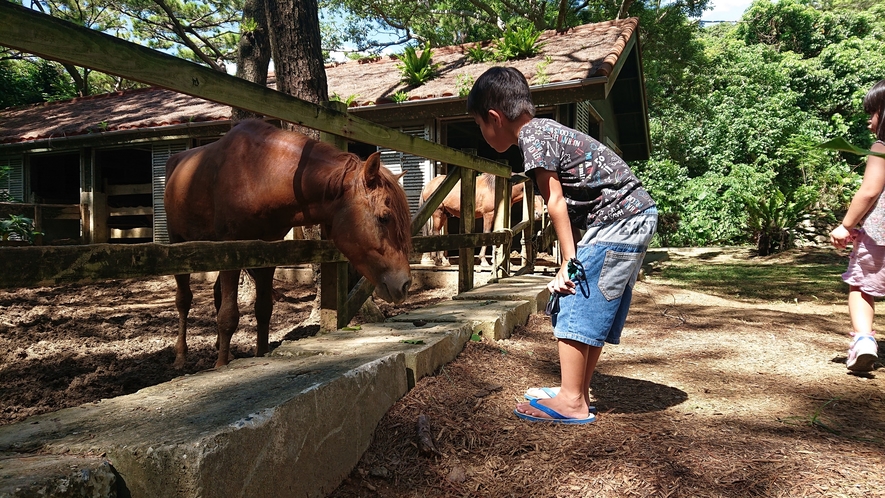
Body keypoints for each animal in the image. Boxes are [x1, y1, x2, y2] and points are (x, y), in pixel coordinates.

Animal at [164, 119, 412, 370]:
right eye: (384, 217)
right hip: (180, 244)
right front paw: (221, 365)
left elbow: (263, 309)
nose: (404, 284)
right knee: (184, 300)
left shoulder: (267, 254)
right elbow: (228, 315)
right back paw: (181, 356)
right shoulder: (231, 250)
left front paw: (260, 353)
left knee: (215, 293)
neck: (257, 173)